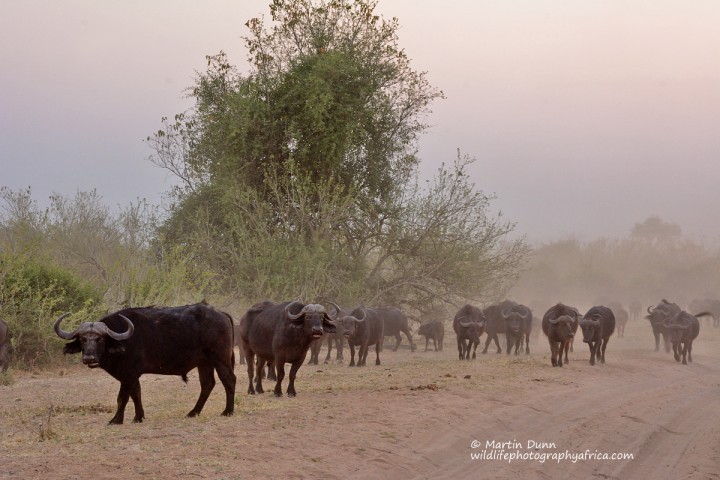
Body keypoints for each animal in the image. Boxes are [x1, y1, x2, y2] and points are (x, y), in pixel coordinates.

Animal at [54, 304, 233, 424]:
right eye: (82, 339)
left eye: (100, 339)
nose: (89, 358)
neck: (123, 341)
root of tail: (221, 314)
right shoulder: (132, 375)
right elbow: (136, 394)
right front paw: (138, 417)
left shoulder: (129, 374)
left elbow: (122, 397)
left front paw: (116, 419)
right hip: (204, 363)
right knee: (207, 384)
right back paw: (193, 412)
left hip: (219, 359)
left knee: (229, 380)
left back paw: (228, 411)